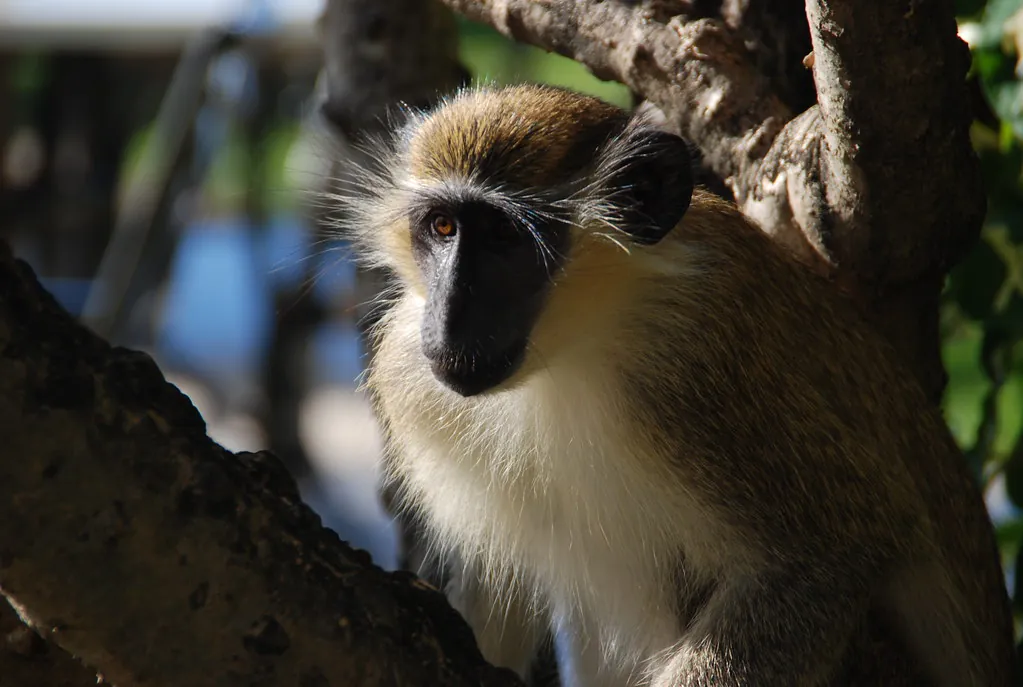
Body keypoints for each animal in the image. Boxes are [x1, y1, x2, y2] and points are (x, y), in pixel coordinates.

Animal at [334, 83, 1016, 686]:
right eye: (443, 228)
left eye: (504, 236)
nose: (449, 319)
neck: (572, 349)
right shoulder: (412, 378)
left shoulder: (695, 370)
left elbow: (828, 559)